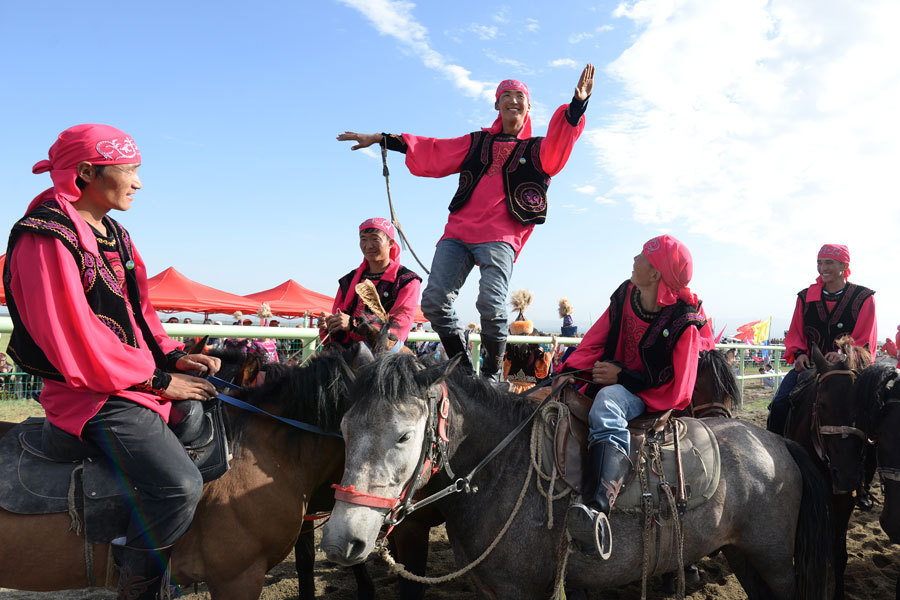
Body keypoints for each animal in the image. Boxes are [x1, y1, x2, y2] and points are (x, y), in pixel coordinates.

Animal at [320, 354, 832, 596]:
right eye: (343, 427)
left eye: (404, 436)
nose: (341, 540)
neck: (502, 469)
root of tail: (773, 443)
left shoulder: (518, 591)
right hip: (744, 555)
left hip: (773, 561)